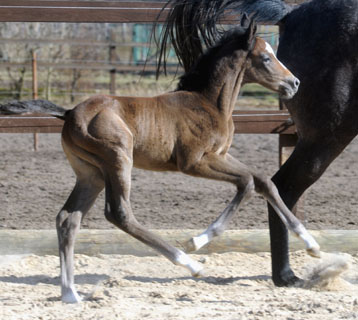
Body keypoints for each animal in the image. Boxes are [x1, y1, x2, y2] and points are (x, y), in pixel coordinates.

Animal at [159, 0, 358, 286]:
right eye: (265, 57)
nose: (293, 82)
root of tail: (293, 14)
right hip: (328, 134)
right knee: (284, 185)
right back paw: (287, 273)